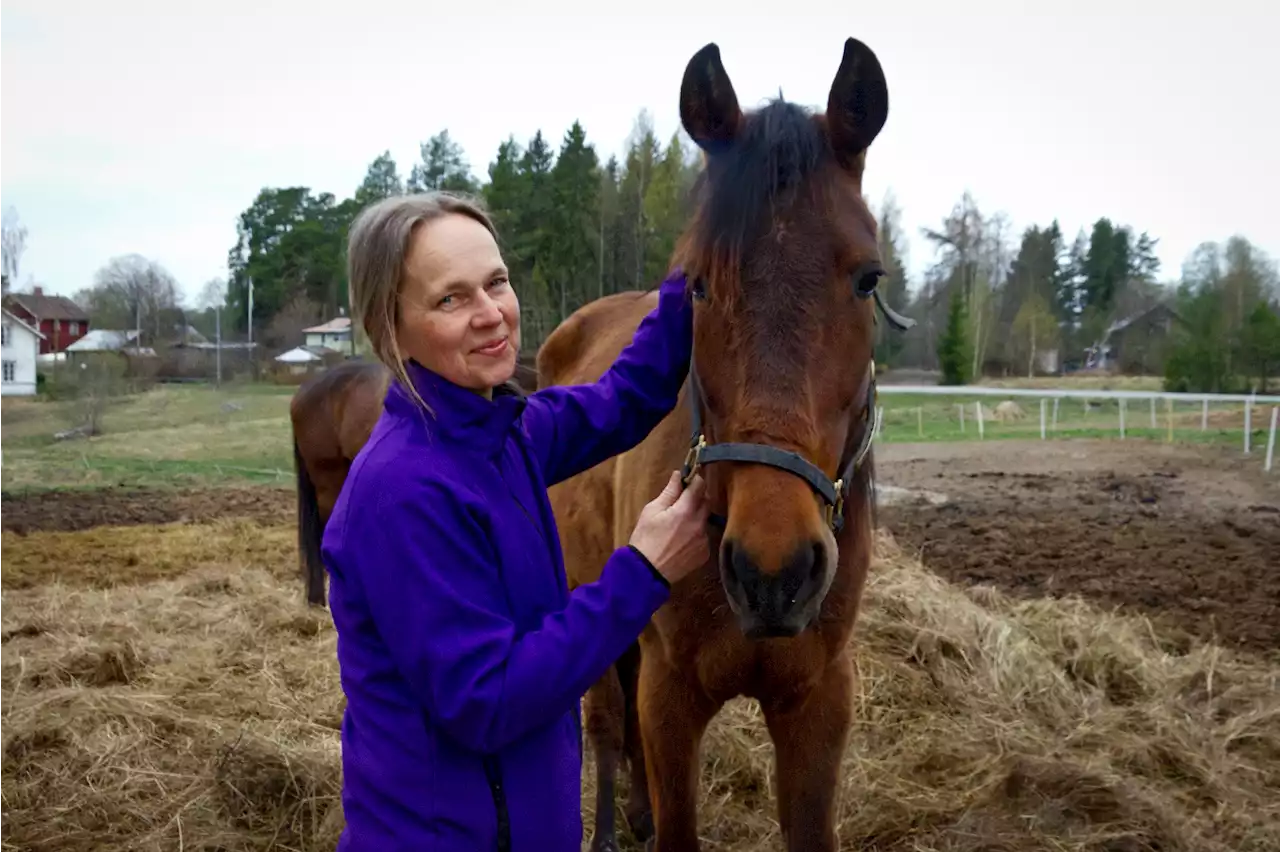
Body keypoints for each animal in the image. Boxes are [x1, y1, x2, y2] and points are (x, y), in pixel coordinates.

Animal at [540, 36, 911, 844]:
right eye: (697, 283)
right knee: (608, 727)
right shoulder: (671, 696)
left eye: (869, 279)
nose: (774, 569)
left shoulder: (818, 702)